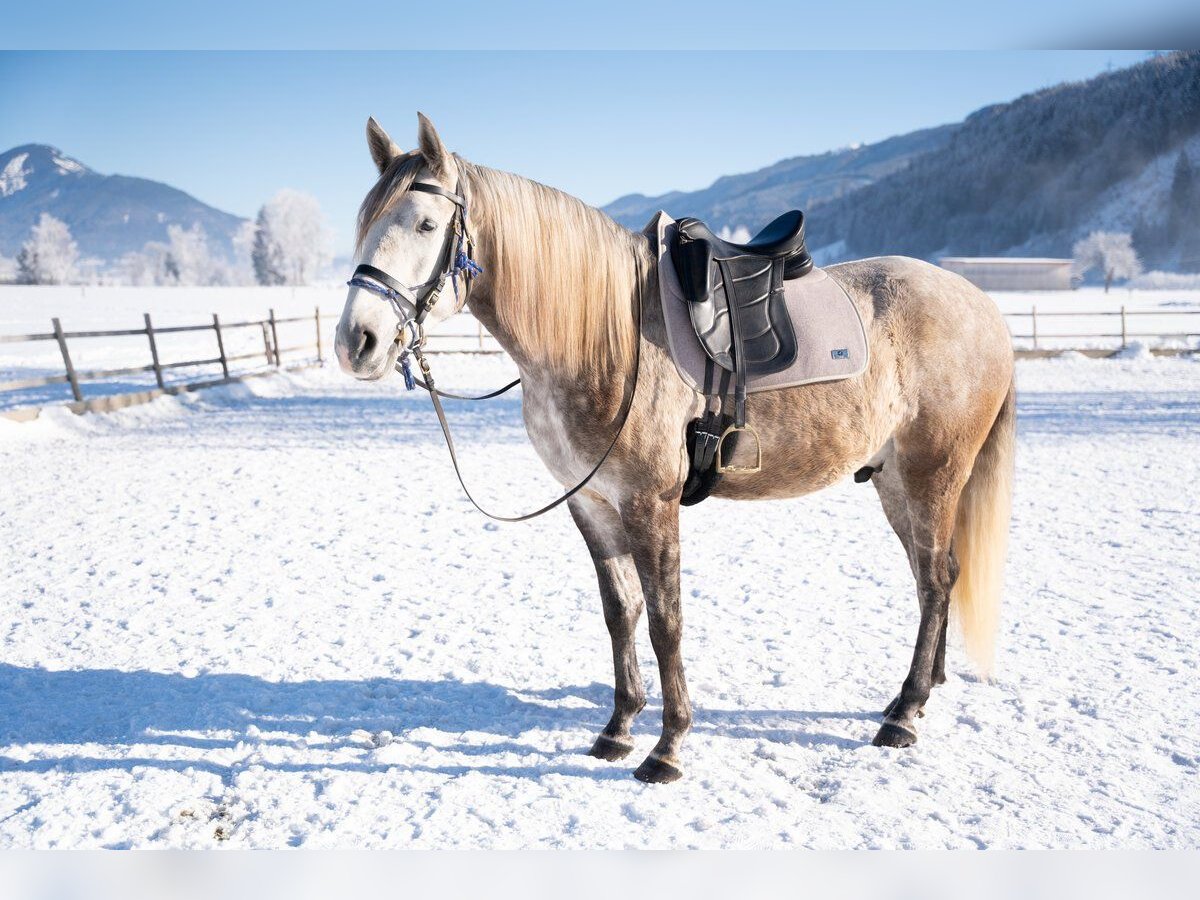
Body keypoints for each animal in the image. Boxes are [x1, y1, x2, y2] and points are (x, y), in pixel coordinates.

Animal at [336, 112, 1012, 787]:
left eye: (426, 224)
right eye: (364, 222)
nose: (356, 341)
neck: (609, 336)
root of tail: (982, 306)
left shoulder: (649, 503)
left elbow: (666, 620)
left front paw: (668, 746)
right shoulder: (592, 504)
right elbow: (620, 612)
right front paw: (618, 728)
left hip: (932, 474)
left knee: (934, 579)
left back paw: (904, 714)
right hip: (894, 482)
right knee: (935, 576)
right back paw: (917, 693)